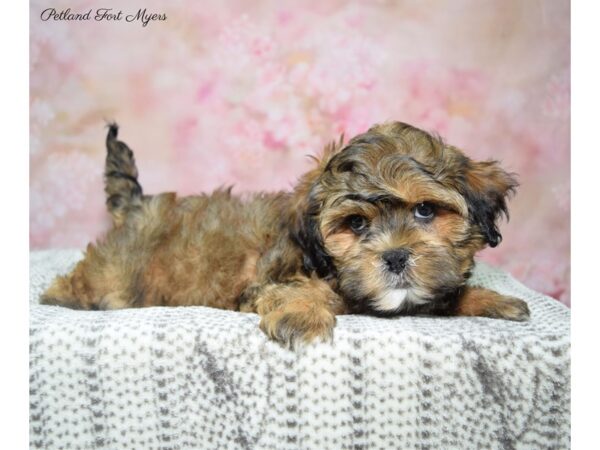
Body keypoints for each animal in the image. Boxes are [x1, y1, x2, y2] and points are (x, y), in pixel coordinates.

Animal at [41, 121, 528, 346]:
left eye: (425, 210)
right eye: (356, 223)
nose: (394, 257)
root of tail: (137, 206)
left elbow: (443, 295)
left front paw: (491, 300)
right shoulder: (269, 281)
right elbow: (295, 291)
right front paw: (303, 314)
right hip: (116, 273)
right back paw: (62, 294)